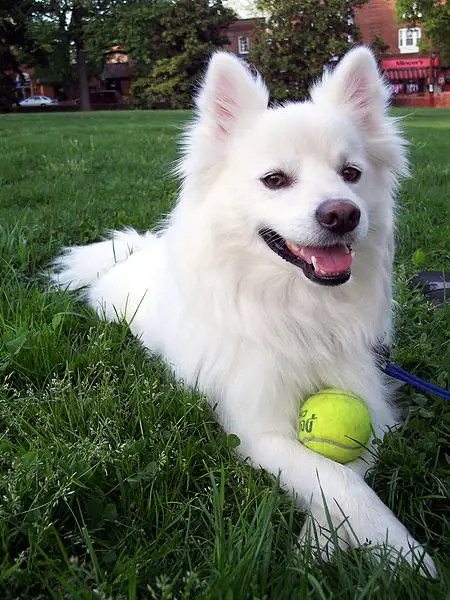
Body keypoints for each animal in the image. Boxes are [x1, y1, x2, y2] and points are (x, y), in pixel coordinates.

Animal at [52, 48, 436, 576]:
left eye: (351, 174)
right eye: (275, 180)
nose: (343, 213)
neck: (299, 310)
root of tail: (134, 252)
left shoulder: (369, 403)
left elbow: (348, 469)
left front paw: (323, 543)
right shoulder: (254, 426)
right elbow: (338, 480)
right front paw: (403, 554)